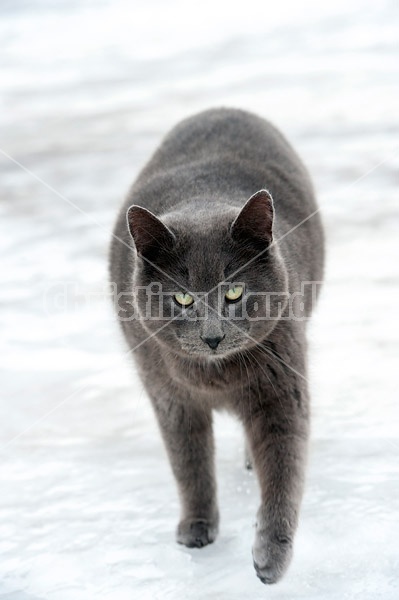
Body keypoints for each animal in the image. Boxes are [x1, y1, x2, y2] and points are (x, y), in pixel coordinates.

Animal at [109, 105, 324, 584]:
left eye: (234, 292)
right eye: (183, 298)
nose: (212, 336)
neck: (215, 379)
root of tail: (225, 108)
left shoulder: (282, 385)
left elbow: (284, 468)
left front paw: (270, 557)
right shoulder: (169, 396)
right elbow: (189, 464)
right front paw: (196, 528)